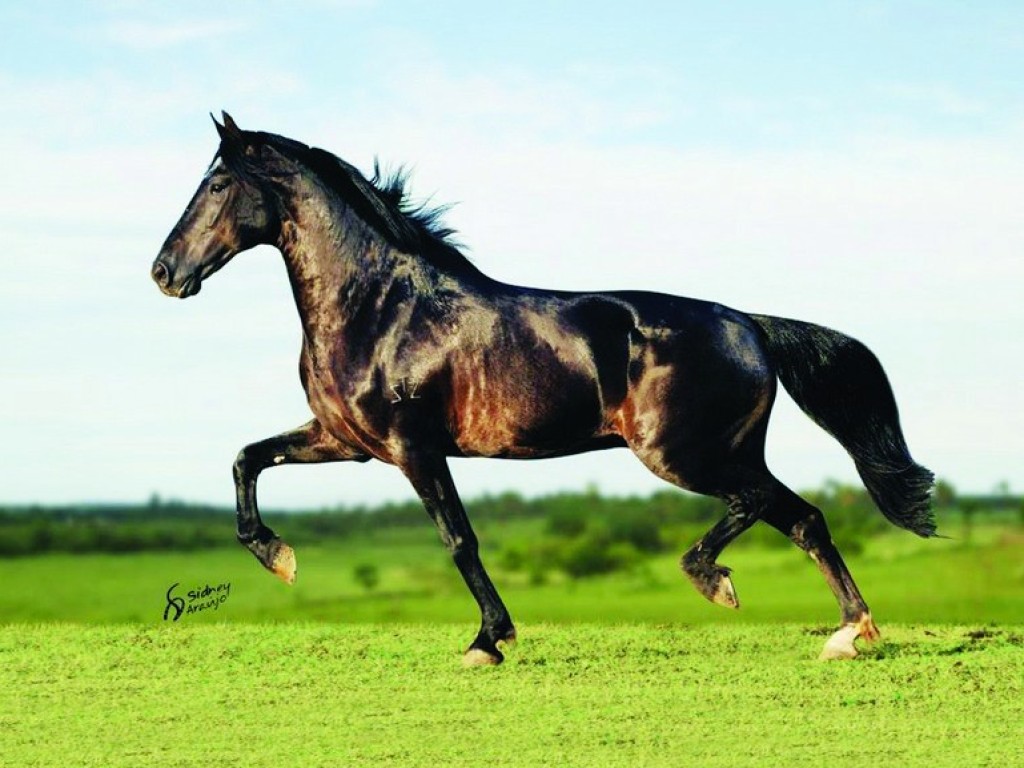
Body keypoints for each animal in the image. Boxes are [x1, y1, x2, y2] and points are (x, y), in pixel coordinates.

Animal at [152, 113, 935, 665]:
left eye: (216, 184)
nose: (164, 272)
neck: (379, 307)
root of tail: (749, 324)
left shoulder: (413, 447)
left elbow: (458, 538)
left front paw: (486, 641)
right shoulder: (345, 440)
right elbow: (247, 458)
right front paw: (277, 556)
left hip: (686, 454)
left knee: (772, 508)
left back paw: (722, 583)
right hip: (721, 453)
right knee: (803, 519)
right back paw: (847, 634)